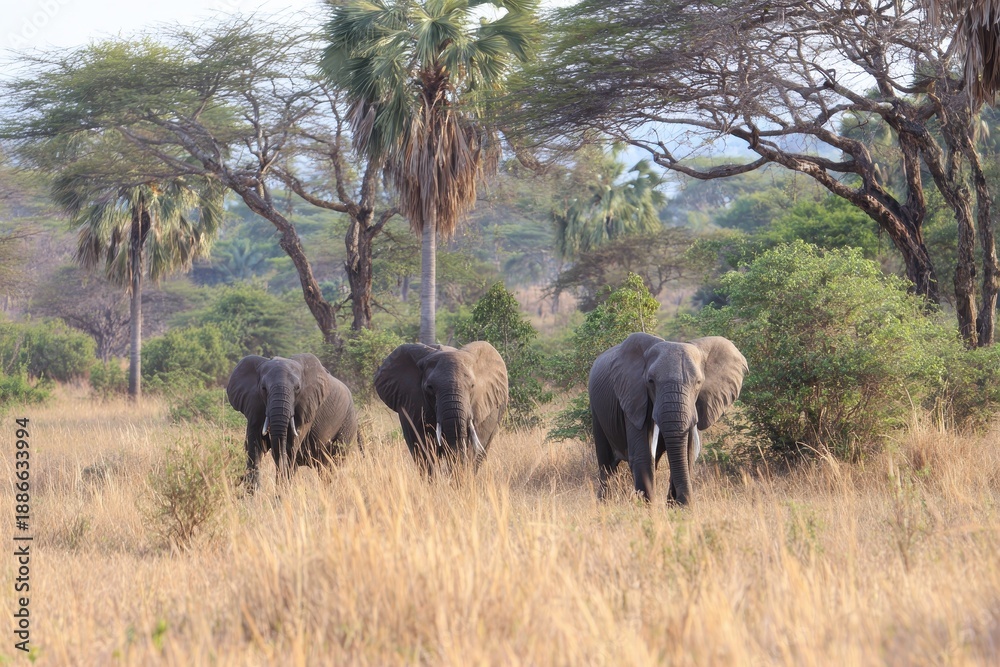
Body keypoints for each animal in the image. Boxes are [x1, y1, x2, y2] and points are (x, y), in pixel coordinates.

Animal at [226, 353, 359, 491]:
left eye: (297, 388)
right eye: (263, 388)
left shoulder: (307, 406)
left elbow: (289, 447)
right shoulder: (255, 407)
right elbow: (255, 447)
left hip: (348, 423)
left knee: (333, 463)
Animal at [588, 332, 747, 505]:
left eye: (698, 382)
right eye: (650, 381)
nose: (684, 502)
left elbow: (687, 454)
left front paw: (676, 508)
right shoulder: (634, 399)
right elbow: (643, 455)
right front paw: (649, 509)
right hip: (596, 410)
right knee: (606, 465)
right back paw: (603, 504)